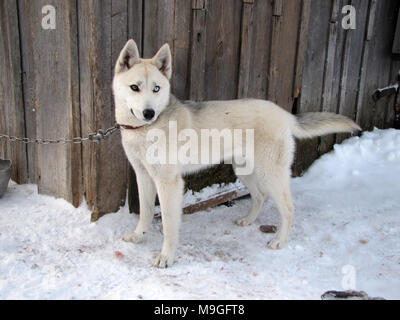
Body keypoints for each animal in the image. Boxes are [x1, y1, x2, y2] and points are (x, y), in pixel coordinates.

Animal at [111, 39, 360, 268]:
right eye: (134, 87)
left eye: (156, 89)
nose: (149, 113)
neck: (145, 130)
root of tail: (284, 114)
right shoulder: (143, 176)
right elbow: (145, 213)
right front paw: (138, 236)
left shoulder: (169, 183)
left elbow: (168, 225)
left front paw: (166, 257)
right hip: (244, 171)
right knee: (259, 196)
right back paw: (248, 221)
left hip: (271, 175)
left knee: (288, 209)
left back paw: (279, 240)